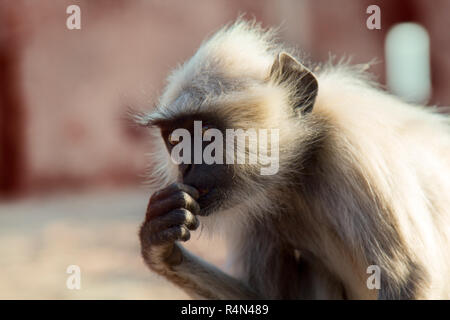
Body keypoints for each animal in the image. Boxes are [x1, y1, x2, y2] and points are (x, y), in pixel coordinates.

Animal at [137, 20, 450, 300]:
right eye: (176, 140)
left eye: (206, 134)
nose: (186, 165)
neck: (301, 168)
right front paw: (159, 242)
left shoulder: (353, 149)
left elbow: (408, 281)